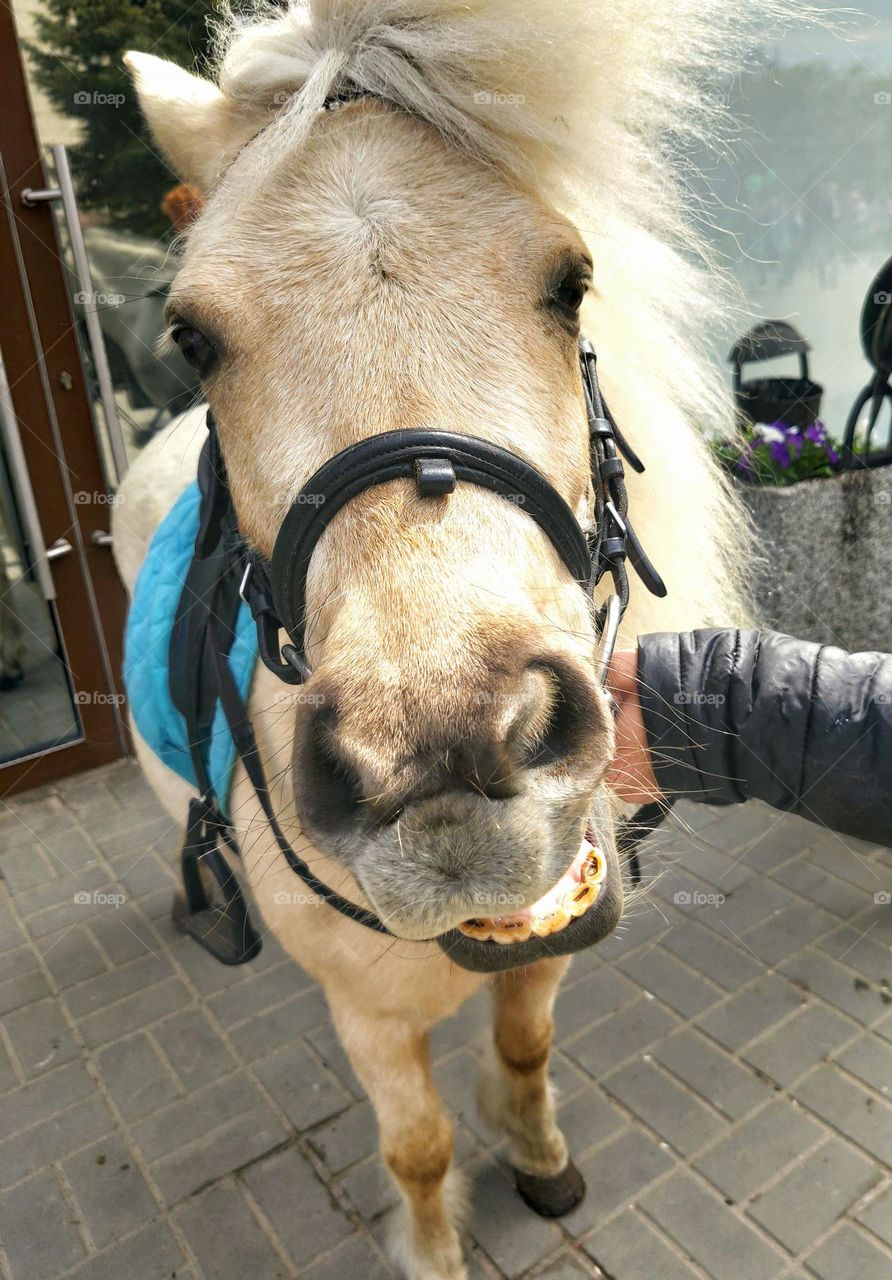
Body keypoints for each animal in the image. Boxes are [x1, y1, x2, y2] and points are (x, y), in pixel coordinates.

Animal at [113, 3, 783, 1275]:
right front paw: (431, 1247)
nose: (446, 758)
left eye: (569, 283)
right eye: (193, 337)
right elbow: (417, 1148)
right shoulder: (370, 1012)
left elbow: (522, 1050)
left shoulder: (548, 937)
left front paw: (536, 1156)